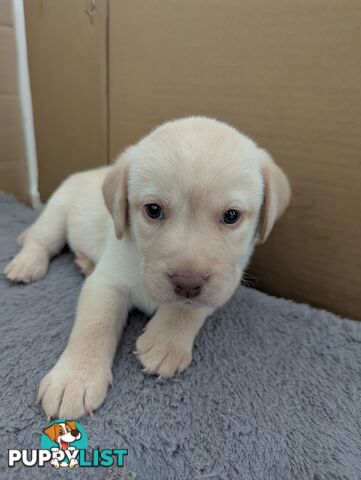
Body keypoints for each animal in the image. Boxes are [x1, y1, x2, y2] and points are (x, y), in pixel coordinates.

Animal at [3, 116, 290, 416]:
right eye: (153, 210)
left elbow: (189, 308)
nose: (188, 283)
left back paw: (84, 262)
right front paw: (74, 378)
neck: (141, 258)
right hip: (56, 213)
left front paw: (165, 341)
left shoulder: (227, 281)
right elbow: (94, 325)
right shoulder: (107, 282)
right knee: (39, 240)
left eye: (232, 215)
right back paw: (25, 264)